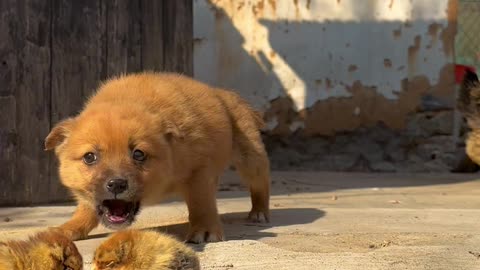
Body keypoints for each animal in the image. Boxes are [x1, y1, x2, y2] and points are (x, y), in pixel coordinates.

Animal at [46, 71, 270, 243]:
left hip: (251, 158)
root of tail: (220, 92)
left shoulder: (199, 172)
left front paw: (205, 229)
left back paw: (259, 212)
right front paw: (69, 228)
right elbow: (86, 207)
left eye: (138, 154)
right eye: (89, 157)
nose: (117, 185)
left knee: (260, 183)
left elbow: (201, 202)